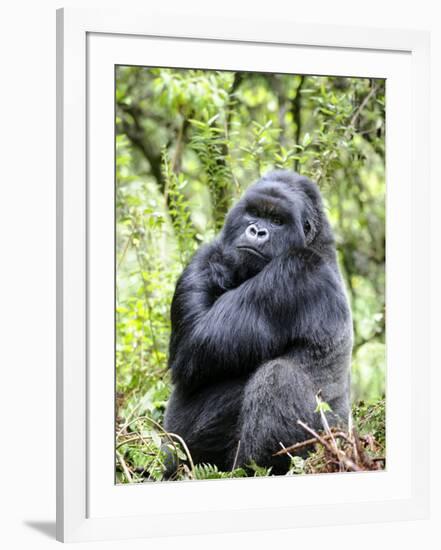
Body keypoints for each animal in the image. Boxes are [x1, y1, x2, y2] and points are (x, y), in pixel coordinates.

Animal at [163, 170, 352, 476]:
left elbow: (195, 343)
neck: (315, 243)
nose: (256, 231)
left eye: (277, 221)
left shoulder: (295, 272)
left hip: (326, 446)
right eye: (254, 213)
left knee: (278, 376)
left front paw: (218, 262)